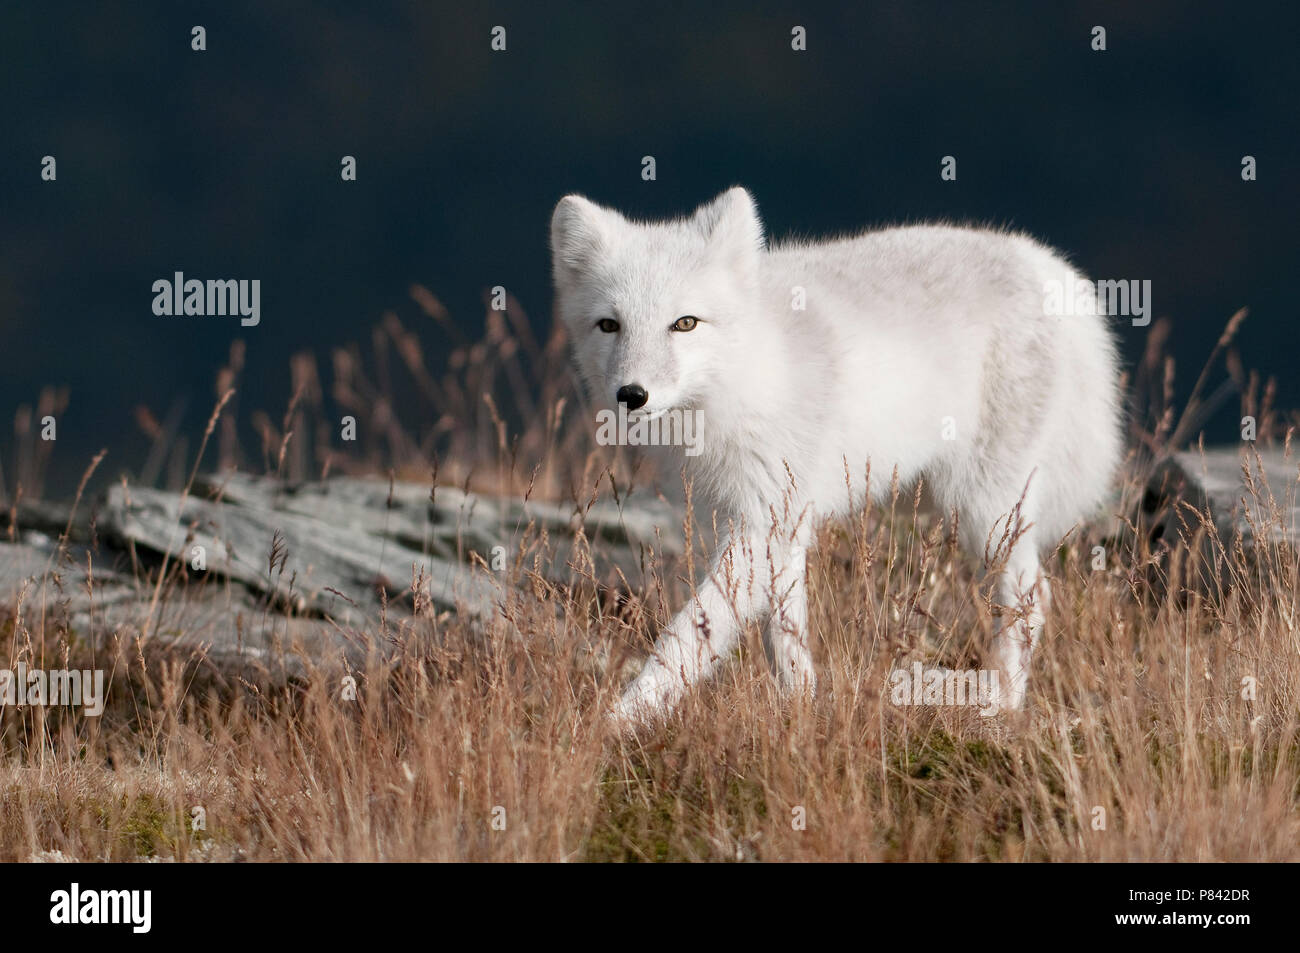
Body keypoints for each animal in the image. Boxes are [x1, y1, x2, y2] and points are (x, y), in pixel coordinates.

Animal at [548, 185, 1118, 722]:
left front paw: (621, 721)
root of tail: (1043, 261)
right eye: (609, 325)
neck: (748, 378)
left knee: (1030, 600)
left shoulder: (759, 524)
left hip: (983, 505)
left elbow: (692, 629)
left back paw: (1000, 703)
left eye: (685, 323)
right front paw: (798, 711)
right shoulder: (775, 527)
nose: (632, 394)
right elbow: (783, 635)